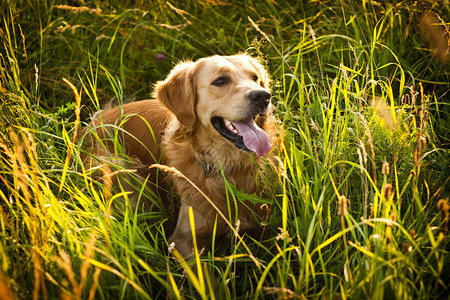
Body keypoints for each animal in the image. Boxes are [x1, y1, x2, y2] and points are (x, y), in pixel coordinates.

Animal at [81, 54, 282, 260]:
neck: (229, 168)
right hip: (118, 166)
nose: (263, 96)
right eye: (220, 81)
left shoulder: (267, 224)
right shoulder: (183, 239)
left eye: (255, 78)